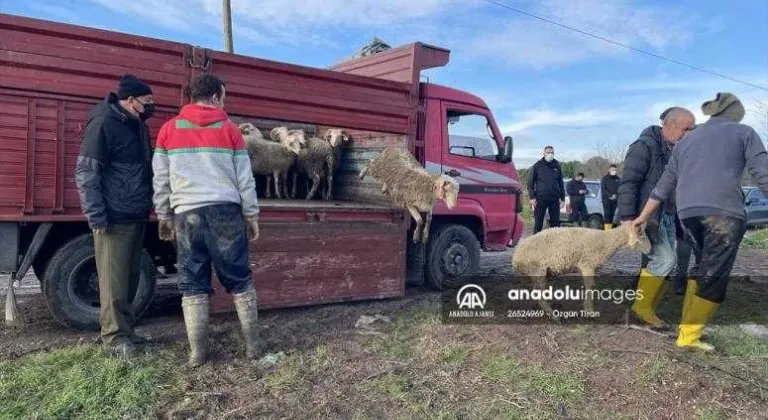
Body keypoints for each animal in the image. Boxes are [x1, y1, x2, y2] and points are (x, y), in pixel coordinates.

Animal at [512, 225, 652, 320]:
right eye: (642, 236)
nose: (650, 250)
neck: (606, 241)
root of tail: (515, 257)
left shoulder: (586, 267)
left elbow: (589, 286)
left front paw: (587, 309)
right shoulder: (587, 265)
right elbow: (590, 287)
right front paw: (590, 312)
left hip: (542, 272)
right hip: (537, 269)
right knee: (538, 293)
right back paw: (553, 315)